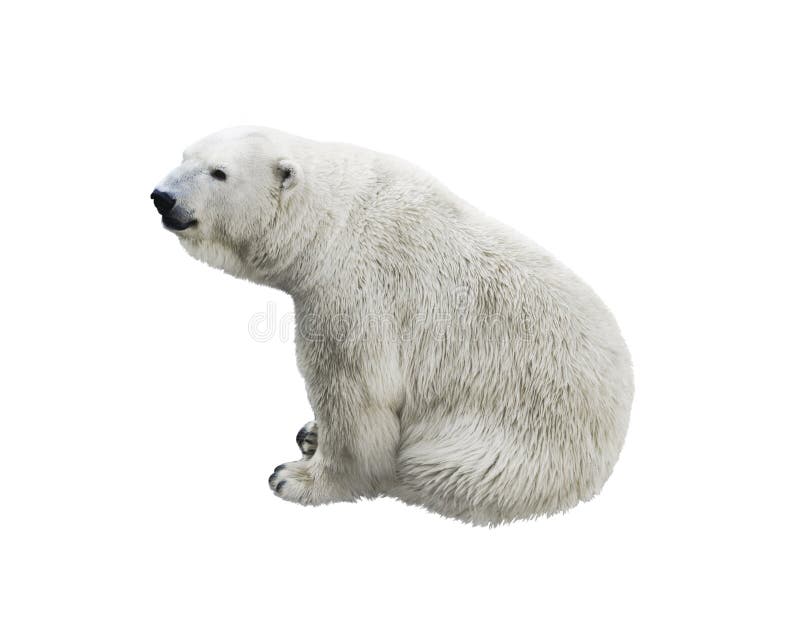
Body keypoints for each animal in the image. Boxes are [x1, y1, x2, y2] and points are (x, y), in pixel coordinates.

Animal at [151, 126, 634, 525]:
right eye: (185, 154)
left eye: (219, 172)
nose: (162, 196)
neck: (333, 222)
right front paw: (311, 433)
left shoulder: (357, 295)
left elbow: (356, 395)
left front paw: (295, 478)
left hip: (509, 444)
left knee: (434, 468)